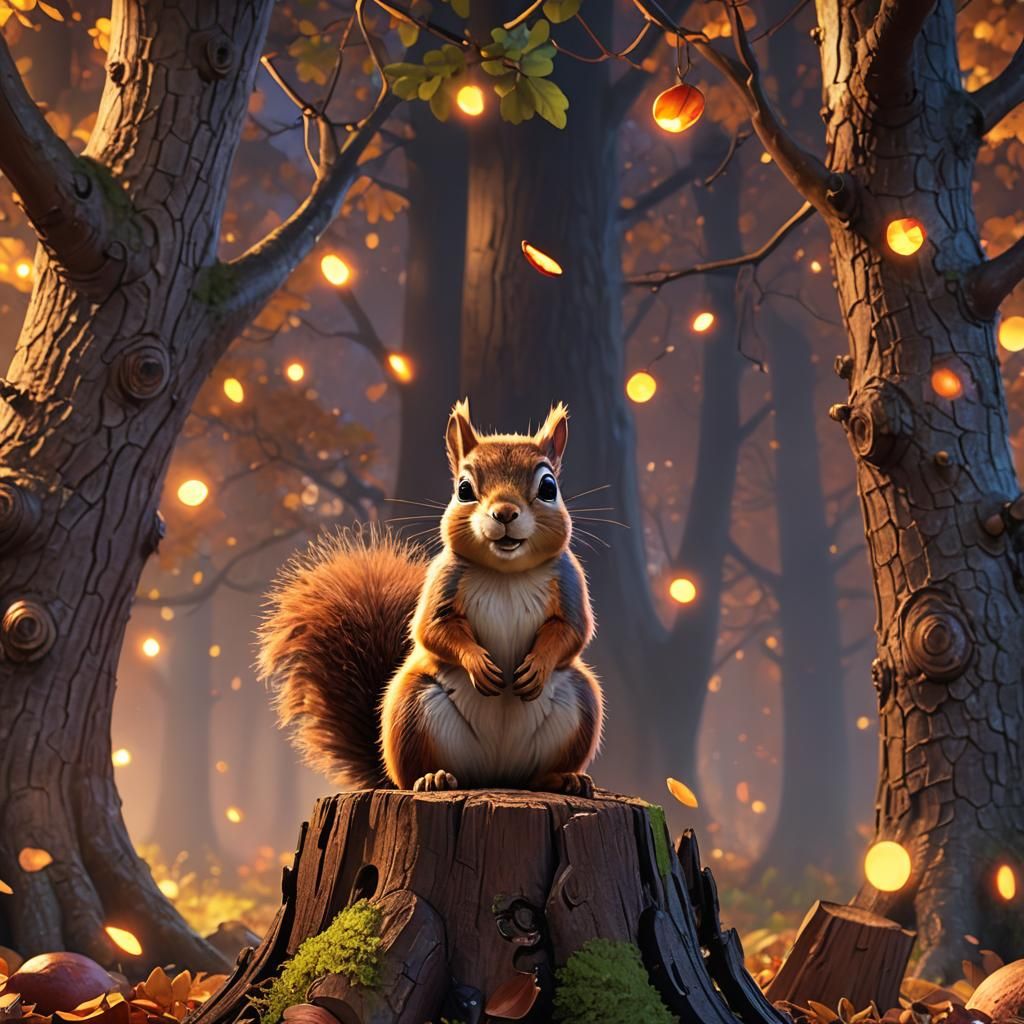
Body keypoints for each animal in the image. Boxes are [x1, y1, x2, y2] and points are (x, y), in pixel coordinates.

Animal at [258, 399, 604, 797]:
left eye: (549, 487)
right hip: (413, 711)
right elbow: (432, 629)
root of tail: (497, 774)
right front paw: (477, 662)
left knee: (538, 773)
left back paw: (562, 778)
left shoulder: (569, 580)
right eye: (464, 489)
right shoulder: (443, 581)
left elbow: (572, 631)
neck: (506, 573)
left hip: (579, 703)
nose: (504, 513)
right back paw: (433, 777)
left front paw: (538, 665)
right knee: (414, 773)